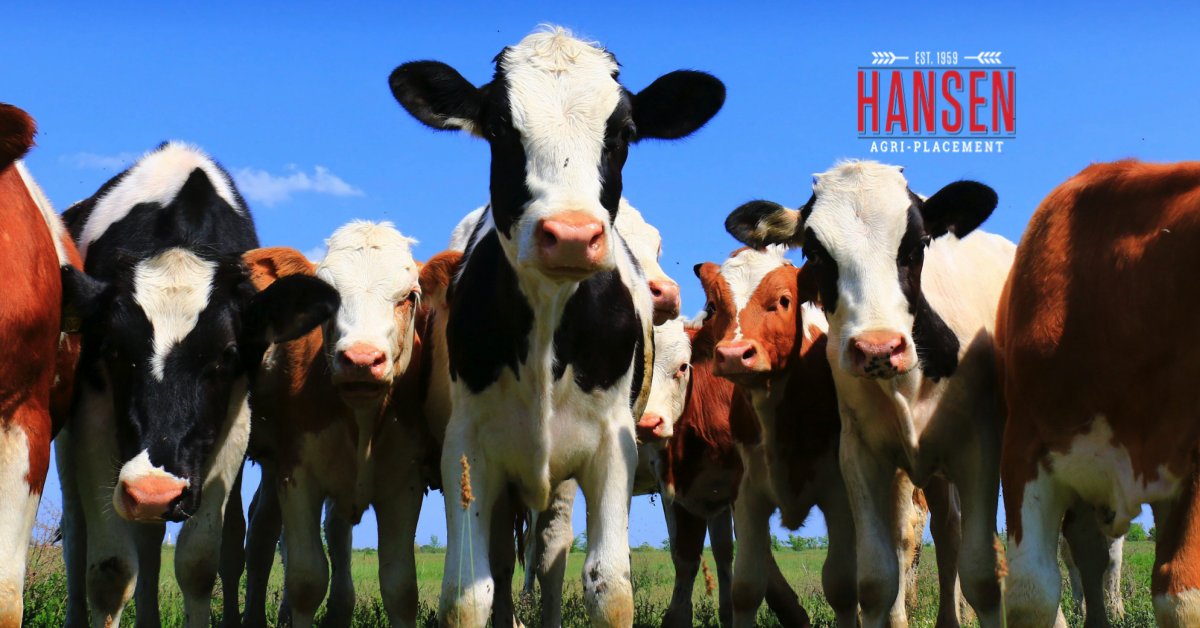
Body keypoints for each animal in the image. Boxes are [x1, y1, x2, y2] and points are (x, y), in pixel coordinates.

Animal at [56, 141, 339, 627]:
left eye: (226, 355)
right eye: (113, 349)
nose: (153, 491)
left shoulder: (234, 420)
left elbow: (199, 561)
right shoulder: (94, 412)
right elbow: (110, 571)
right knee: (77, 535)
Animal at [235, 222, 431, 627]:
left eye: (410, 297)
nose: (361, 359)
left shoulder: (405, 483)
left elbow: (401, 586)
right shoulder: (297, 474)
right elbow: (307, 579)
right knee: (261, 534)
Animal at [388, 26, 724, 626]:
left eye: (625, 133)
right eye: (499, 128)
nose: (570, 234)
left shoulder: (614, 446)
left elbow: (608, 586)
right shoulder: (467, 449)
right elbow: (468, 591)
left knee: (550, 552)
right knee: (505, 561)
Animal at [723, 160, 1014, 627]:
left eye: (916, 245)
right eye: (815, 253)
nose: (878, 348)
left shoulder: (978, 448)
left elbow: (983, 576)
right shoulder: (860, 455)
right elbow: (876, 581)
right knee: (945, 532)